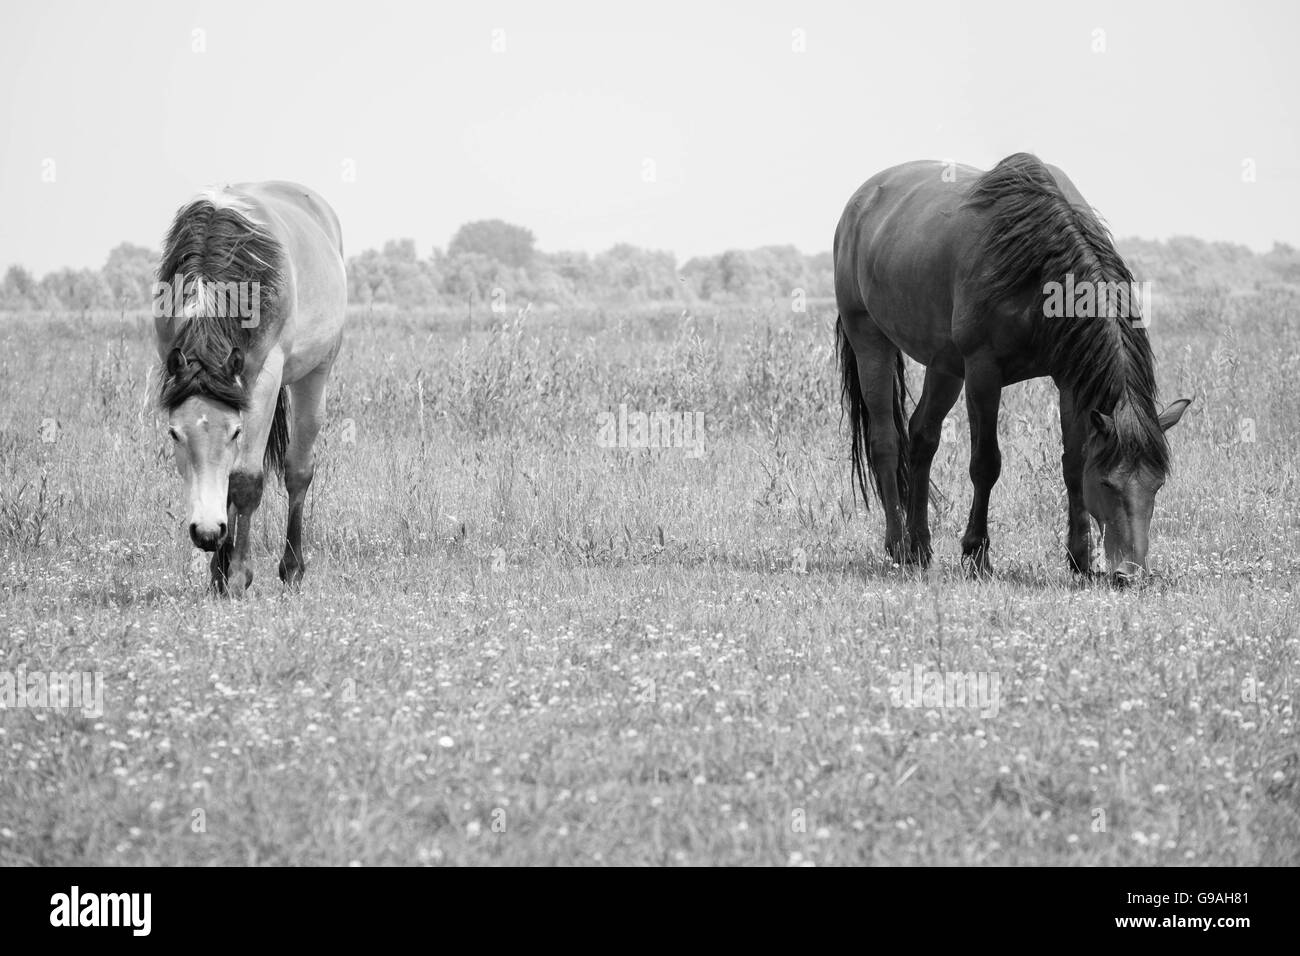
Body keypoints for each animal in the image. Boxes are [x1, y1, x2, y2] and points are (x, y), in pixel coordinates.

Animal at [153, 182, 347, 595]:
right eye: (174, 434)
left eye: (235, 432)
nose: (207, 533)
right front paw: (218, 574)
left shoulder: (264, 381)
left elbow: (244, 482)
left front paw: (239, 575)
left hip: (315, 375)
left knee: (298, 471)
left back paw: (291, 569)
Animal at [834, 153, 1190, 585]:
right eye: (1107, 483)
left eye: (1157, 484)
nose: (1131, 574)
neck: (1035, 264)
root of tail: (859, 203)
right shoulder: (983, 372)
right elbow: (986, 463)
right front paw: (976, 553)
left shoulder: (1069, 380)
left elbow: (1073, 463)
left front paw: (1080, 558)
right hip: (870, 338)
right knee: (885, 440)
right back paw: (899, 545)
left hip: (944, 365)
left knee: (922, 436)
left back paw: (920, 547)